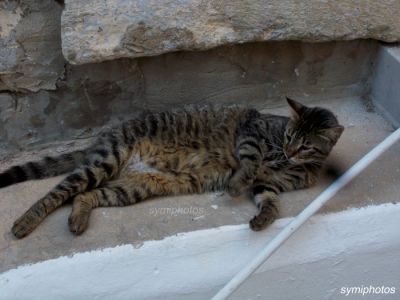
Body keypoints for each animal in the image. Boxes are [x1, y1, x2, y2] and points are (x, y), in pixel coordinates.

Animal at [0, 97, 344, 238]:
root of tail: (109, 132)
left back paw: (78, 219)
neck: (293, 164)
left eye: (305, 144)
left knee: (86, 196)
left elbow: (270, 200)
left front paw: (264, 218)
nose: (288, 150)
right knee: (57, 193)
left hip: (135, 186)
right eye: (289, 135)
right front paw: (235, 184)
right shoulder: (253, 132)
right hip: (104, 162)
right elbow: (251, 161)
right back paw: (25, 222)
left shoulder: (269, 185)